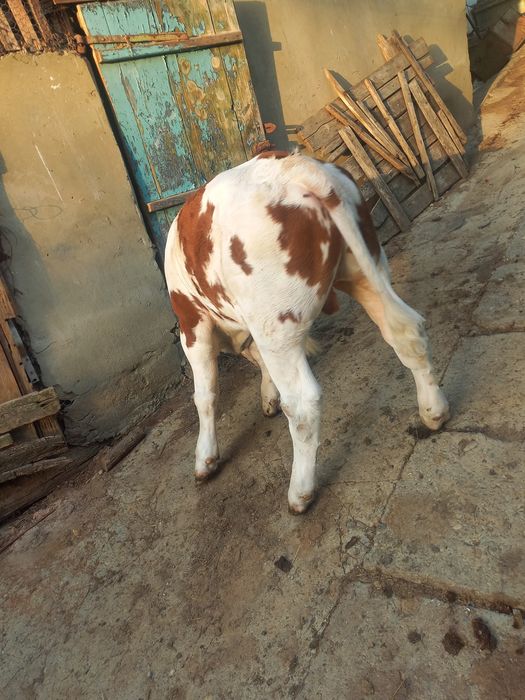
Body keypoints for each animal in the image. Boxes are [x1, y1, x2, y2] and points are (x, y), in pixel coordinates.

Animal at [165, 151, 449, 513]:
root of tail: (292, 165)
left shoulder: (192, 320)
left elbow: (205, 395)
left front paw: (205, 458)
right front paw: (267, 396)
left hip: (275, 325)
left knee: (302, 402)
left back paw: (300, 492)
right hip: (363, 272)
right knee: (408, 333)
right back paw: (434, 412)